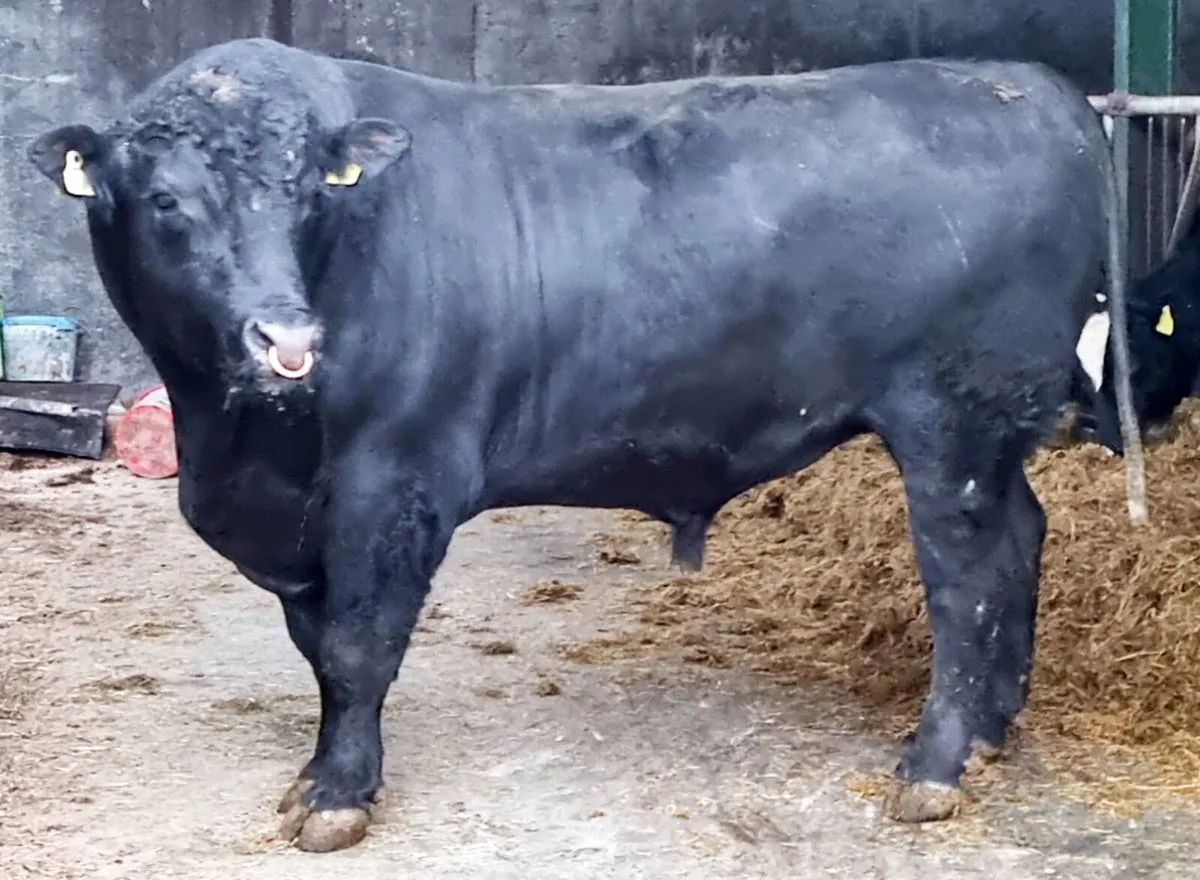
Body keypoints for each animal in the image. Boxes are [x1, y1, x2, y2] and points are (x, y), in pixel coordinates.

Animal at [28, 38, 1146, 852]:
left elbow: (357, 644)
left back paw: (934, 764)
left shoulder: (395, 479)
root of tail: (1030, 87)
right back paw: (995, 728)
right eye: (166, 198)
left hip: (954, 427)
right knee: (1021, 540)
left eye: (310, 192)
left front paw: (339, 795)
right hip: (991, 440)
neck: (243, 444)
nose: (287, 336)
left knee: (966, 585)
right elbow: (318, 648)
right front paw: (320, 772)